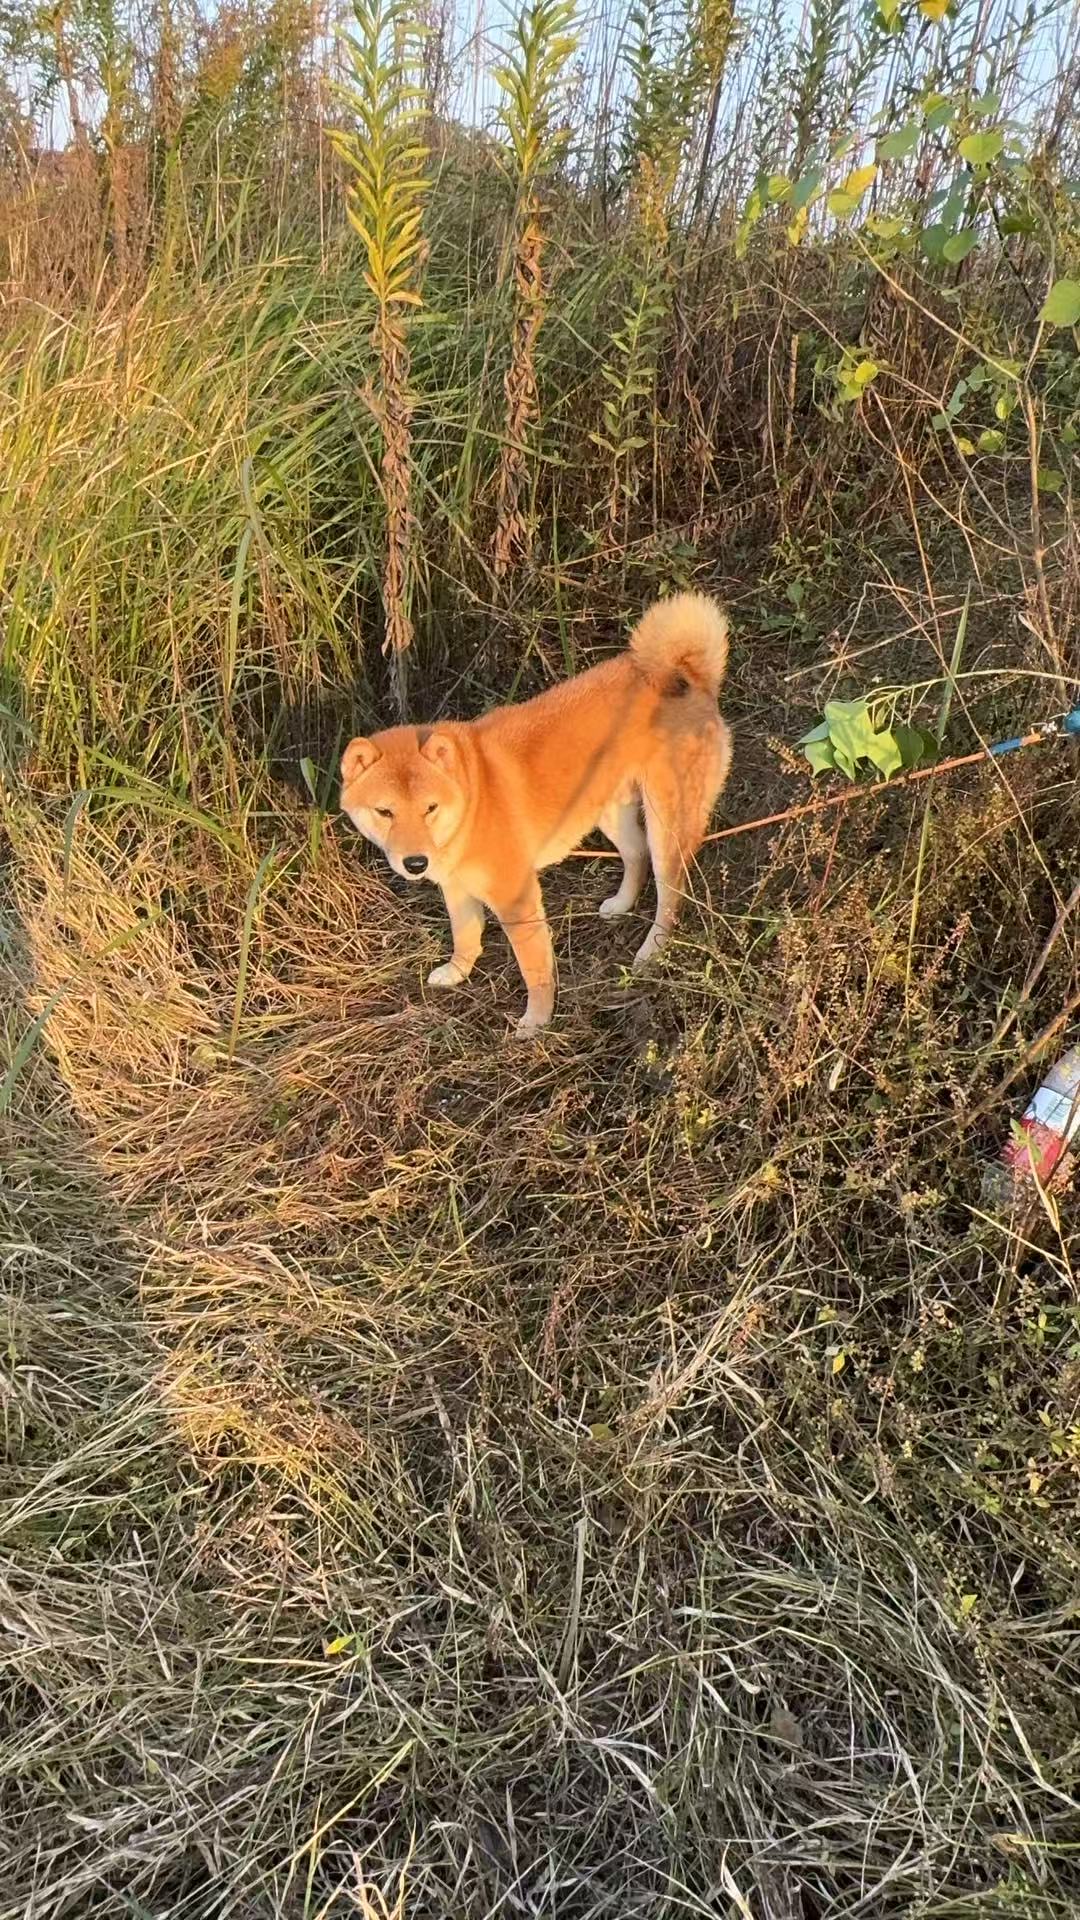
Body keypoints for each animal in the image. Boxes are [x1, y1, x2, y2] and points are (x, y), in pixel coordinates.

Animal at [340, 593, 732, 1034]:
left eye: (430, 808)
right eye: (385, 811)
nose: (415, 863)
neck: (473, 797)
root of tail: (690, 676)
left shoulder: (517, 901)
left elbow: (535, 969)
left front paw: (536, 1021)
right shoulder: (456, 889)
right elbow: (465, 937)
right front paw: (456, 972)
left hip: (666, 825)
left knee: (671, 894)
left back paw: (652, 951)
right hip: (610, 812)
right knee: (637, 856)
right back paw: (620, 904)